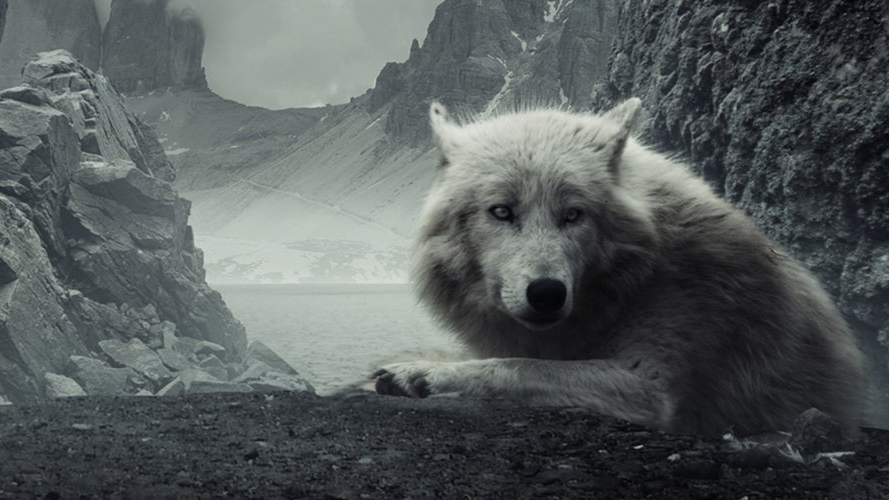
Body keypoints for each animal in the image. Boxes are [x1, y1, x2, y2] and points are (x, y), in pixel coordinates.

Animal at [373, 99, 865, 436]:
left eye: (573, 214)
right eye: (501, 212)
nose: (547, 293)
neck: (633, 282)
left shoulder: (650, 386)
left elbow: (516, 366)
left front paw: (421, 373)